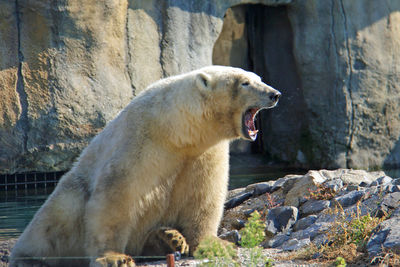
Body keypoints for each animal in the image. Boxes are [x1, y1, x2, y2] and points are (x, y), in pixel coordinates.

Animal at [10, 65, 282, 267]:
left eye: (259, 78)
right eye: (244, 82)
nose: (274, 94)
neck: (178, 129)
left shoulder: (204, 152)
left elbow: (204, 197)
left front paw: (217, 245)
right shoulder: (141, 141)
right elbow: (116, 197)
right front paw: (114, 258)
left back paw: (170, 239)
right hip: (66, 201)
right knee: (56, 220)